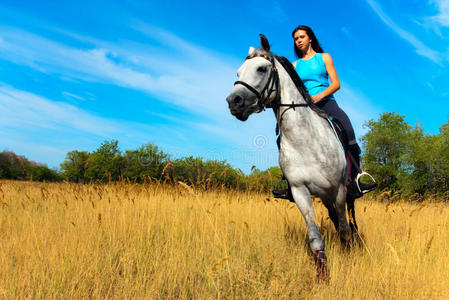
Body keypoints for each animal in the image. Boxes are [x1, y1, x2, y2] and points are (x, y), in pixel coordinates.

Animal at [226, 34, 358, 278]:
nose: (234, 101)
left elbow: (344, 230)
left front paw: (349, 259)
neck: (306, 140)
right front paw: (323, 277)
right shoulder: (299, 191)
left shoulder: (339, 190)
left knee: (349, 222)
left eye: (261, 68)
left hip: (345, 193)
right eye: (238, 73)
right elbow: (316, 238)